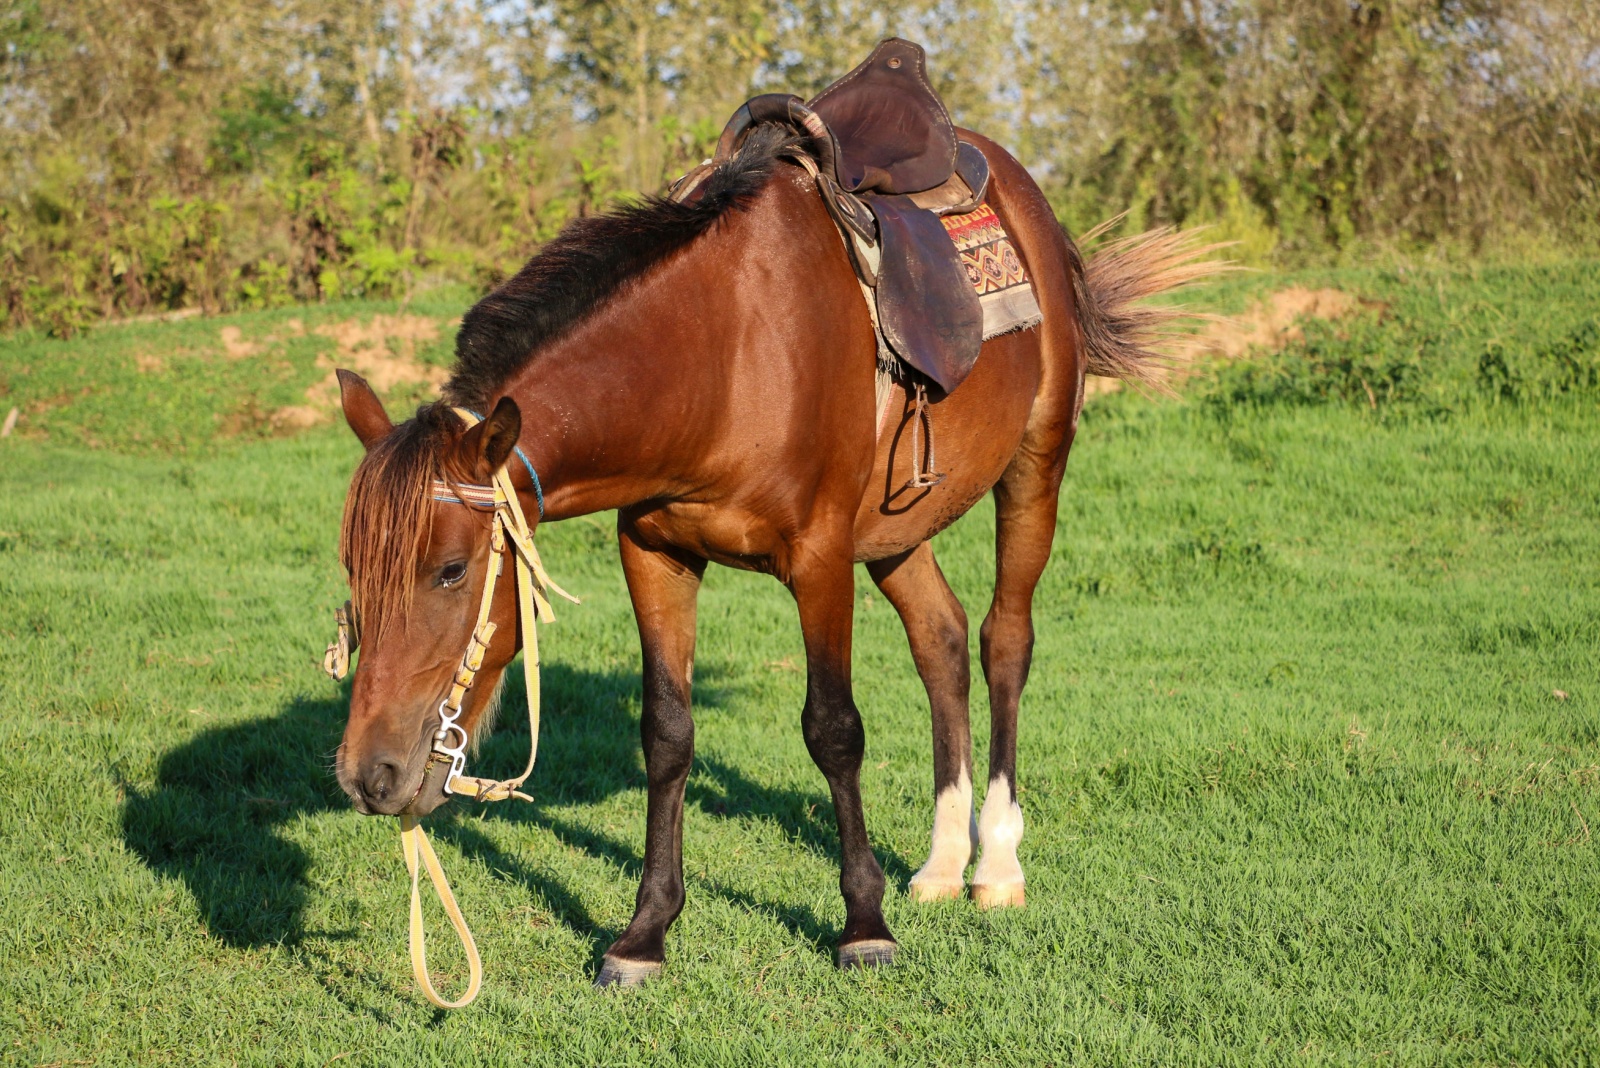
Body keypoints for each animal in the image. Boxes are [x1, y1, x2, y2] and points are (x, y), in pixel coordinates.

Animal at [331, 123, 1216, 984]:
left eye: (451, 571)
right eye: (353, 573)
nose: (367, 776)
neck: (721, 358)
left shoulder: (819, 560)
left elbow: (834, 729)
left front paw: (864, 926)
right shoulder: (653, 554)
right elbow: (667, 734)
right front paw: (645, 933)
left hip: (1036, 467)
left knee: (1005, 642)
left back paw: (994, 862)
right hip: (896, 533)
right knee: (941, 640)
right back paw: (939, 863)